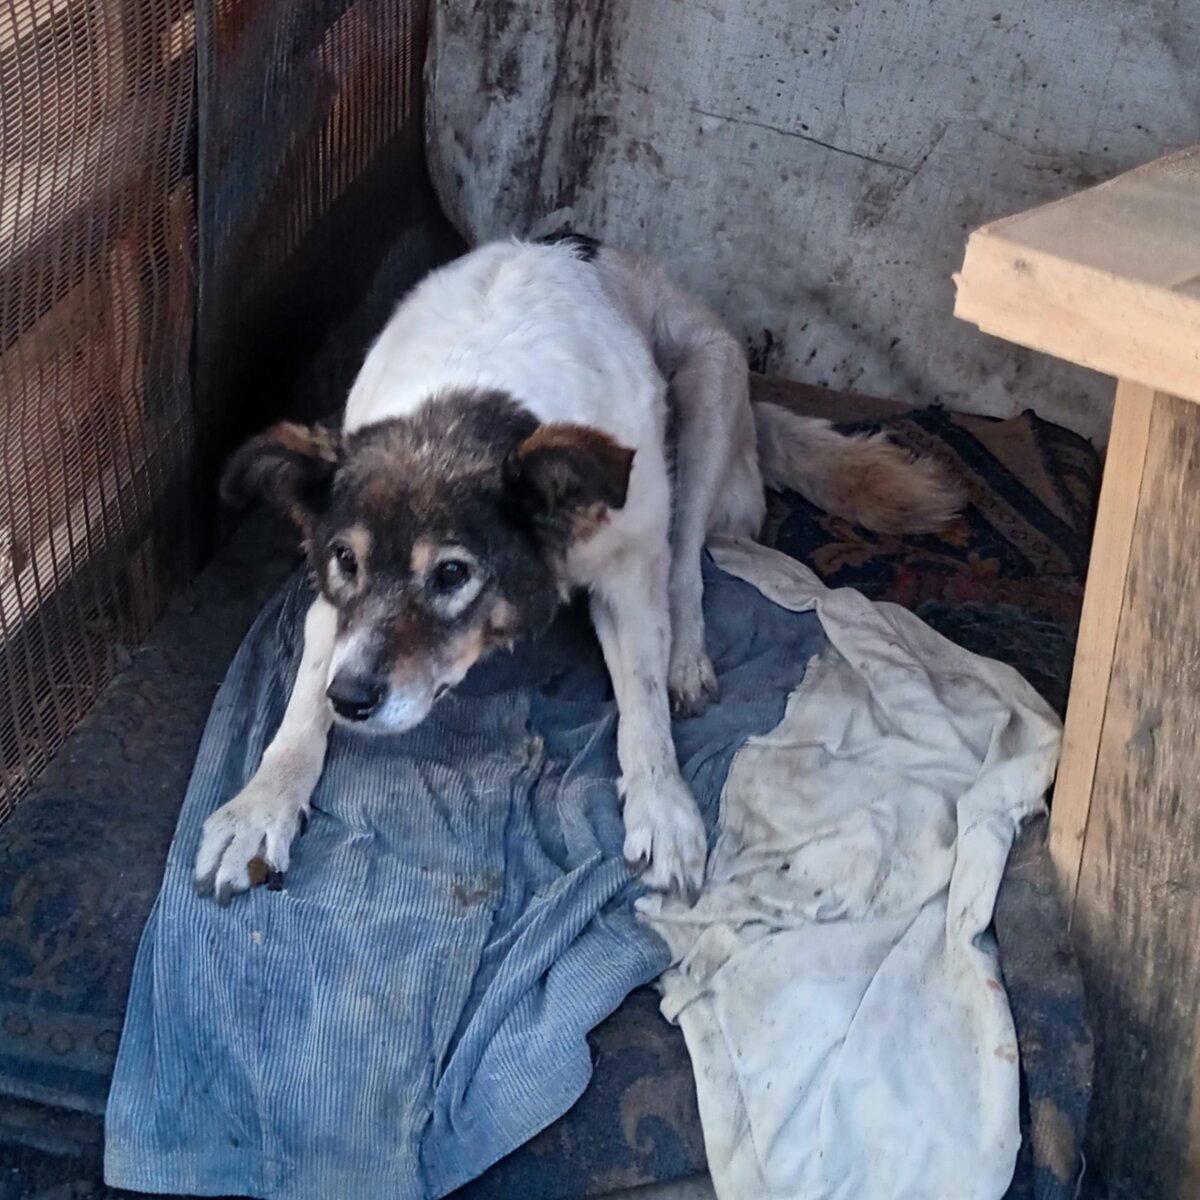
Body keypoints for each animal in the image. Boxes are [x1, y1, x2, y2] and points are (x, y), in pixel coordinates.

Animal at [194, 235, 961, 905]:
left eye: (452, 574)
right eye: (345, 560)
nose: (351, 701)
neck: (467, 401)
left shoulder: (627, 576)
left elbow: (643, 709)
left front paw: (663, 807)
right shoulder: (332, 610)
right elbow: (301, 702)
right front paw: (259, 806)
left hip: (709, 392)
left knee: (686, 565)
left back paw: (687, 658)